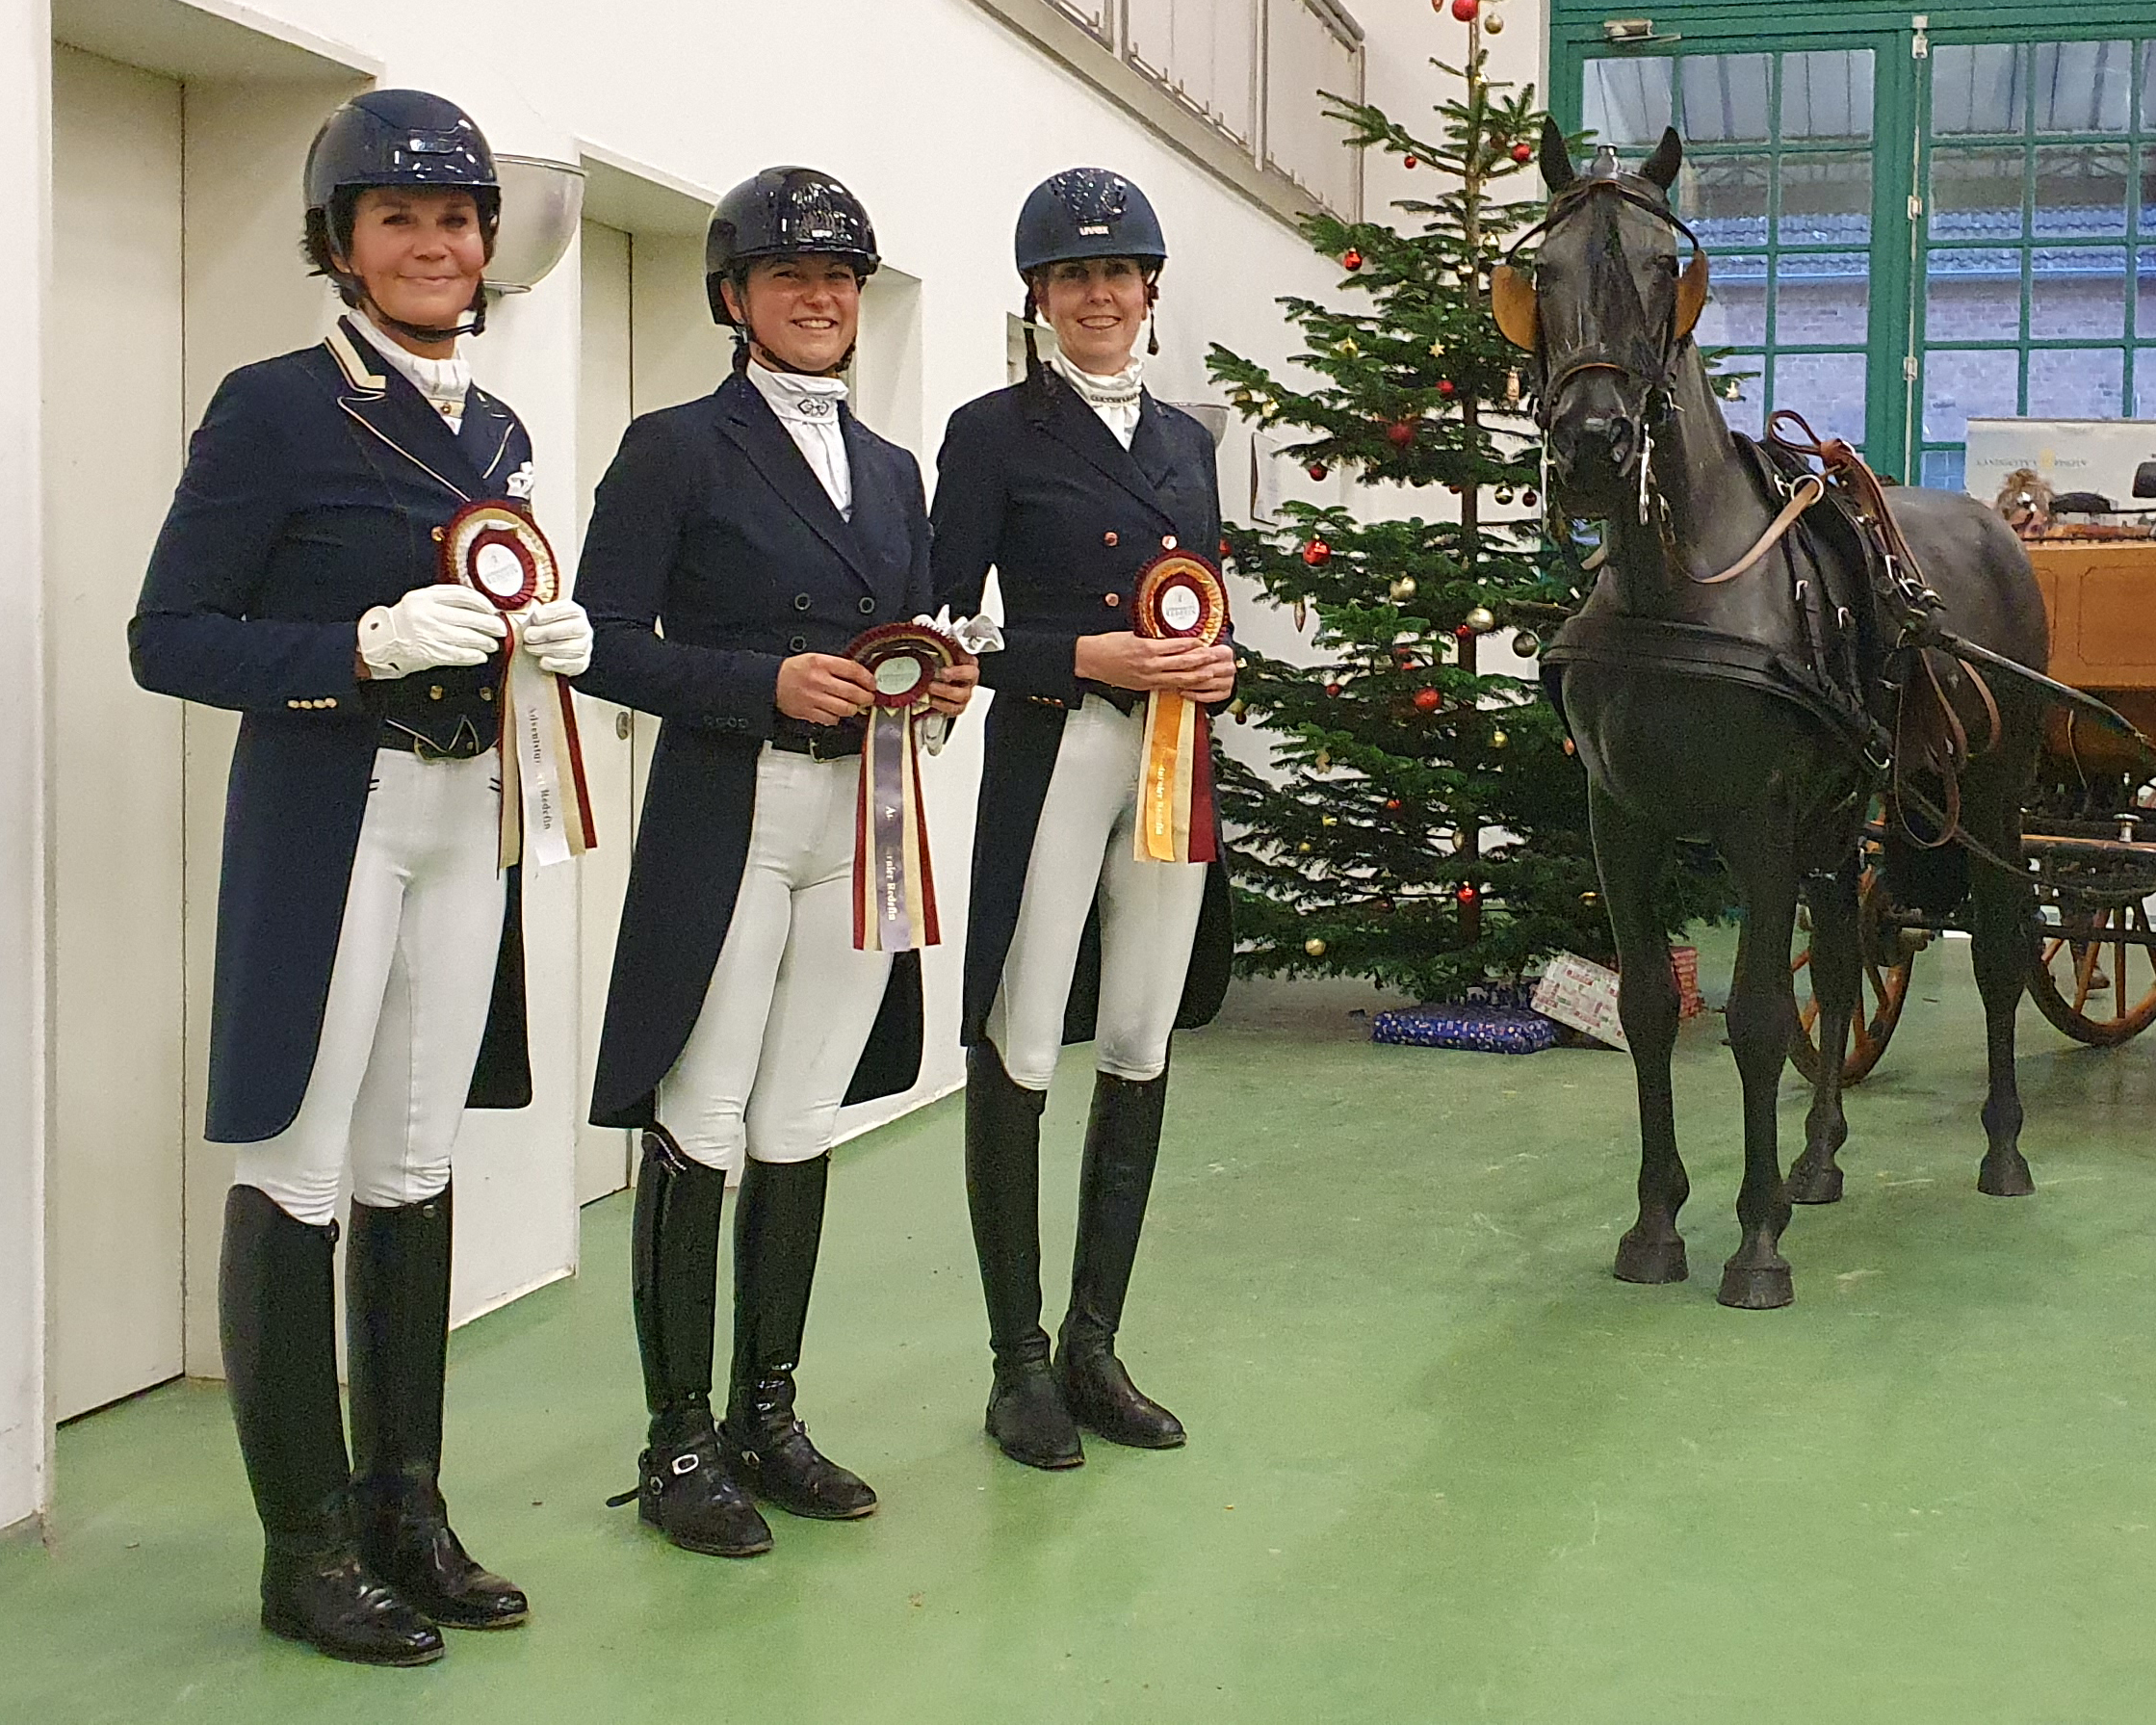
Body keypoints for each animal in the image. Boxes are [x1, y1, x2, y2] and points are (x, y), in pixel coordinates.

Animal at [1509, 120, 2043, 1311]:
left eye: (1666, 268)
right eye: (1541, 274)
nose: (1594, 446)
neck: (1676, 588)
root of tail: (2000, 529)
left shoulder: (1754, 822)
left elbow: (1755, 1016)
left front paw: (1754, 1243)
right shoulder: (1620, 822)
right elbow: (1649, 1008)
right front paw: (1657, 1224)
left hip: (1991, 793)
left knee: (1997, 958)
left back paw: (2001, 1150)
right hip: (1839, 819)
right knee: (1843, 959)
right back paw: (1819, 1156)